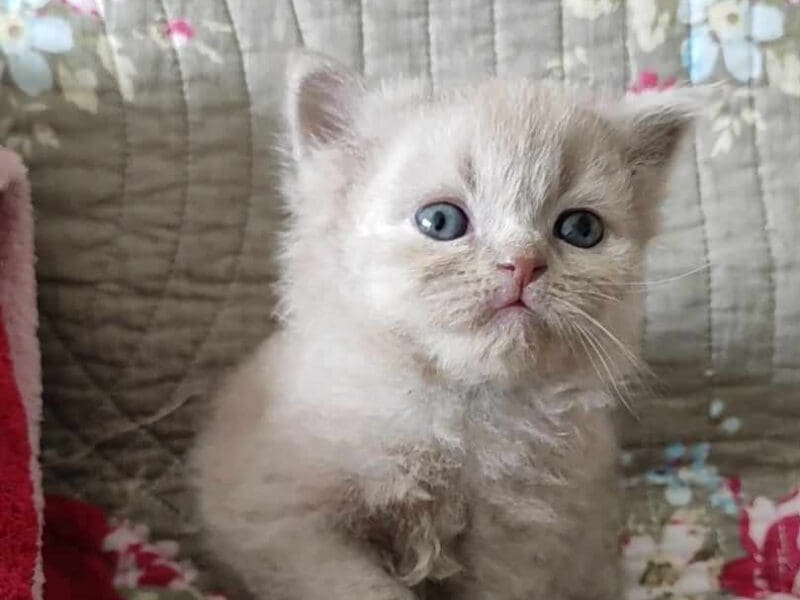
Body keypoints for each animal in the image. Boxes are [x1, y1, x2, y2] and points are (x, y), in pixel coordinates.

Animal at [194, 52, 692, 600]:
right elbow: (362, 588)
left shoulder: (526, 542)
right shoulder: (277, 519)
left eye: (581, 229)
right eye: (441, 221)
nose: (522, 263)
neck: (463, 417)